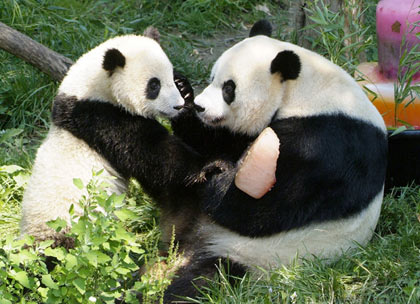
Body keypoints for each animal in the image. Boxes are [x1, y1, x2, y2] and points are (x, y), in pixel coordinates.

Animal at [19, 32, 207, 245]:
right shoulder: (100, 118)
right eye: (154, 85)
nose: (177, 106)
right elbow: (152, 151)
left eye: (171, 77)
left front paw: (185, 90)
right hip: (65, 225)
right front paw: (205, 167)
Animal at [51, 20, 388, 302]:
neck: (309, 92)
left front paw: (221, 178)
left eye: (229, 88)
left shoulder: (329, 146)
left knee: (201, 283)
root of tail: (192, 247)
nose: (201, 106)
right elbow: (216, 142)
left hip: (256, 256)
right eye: (212, 78)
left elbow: (262, 208)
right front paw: (184, 94)